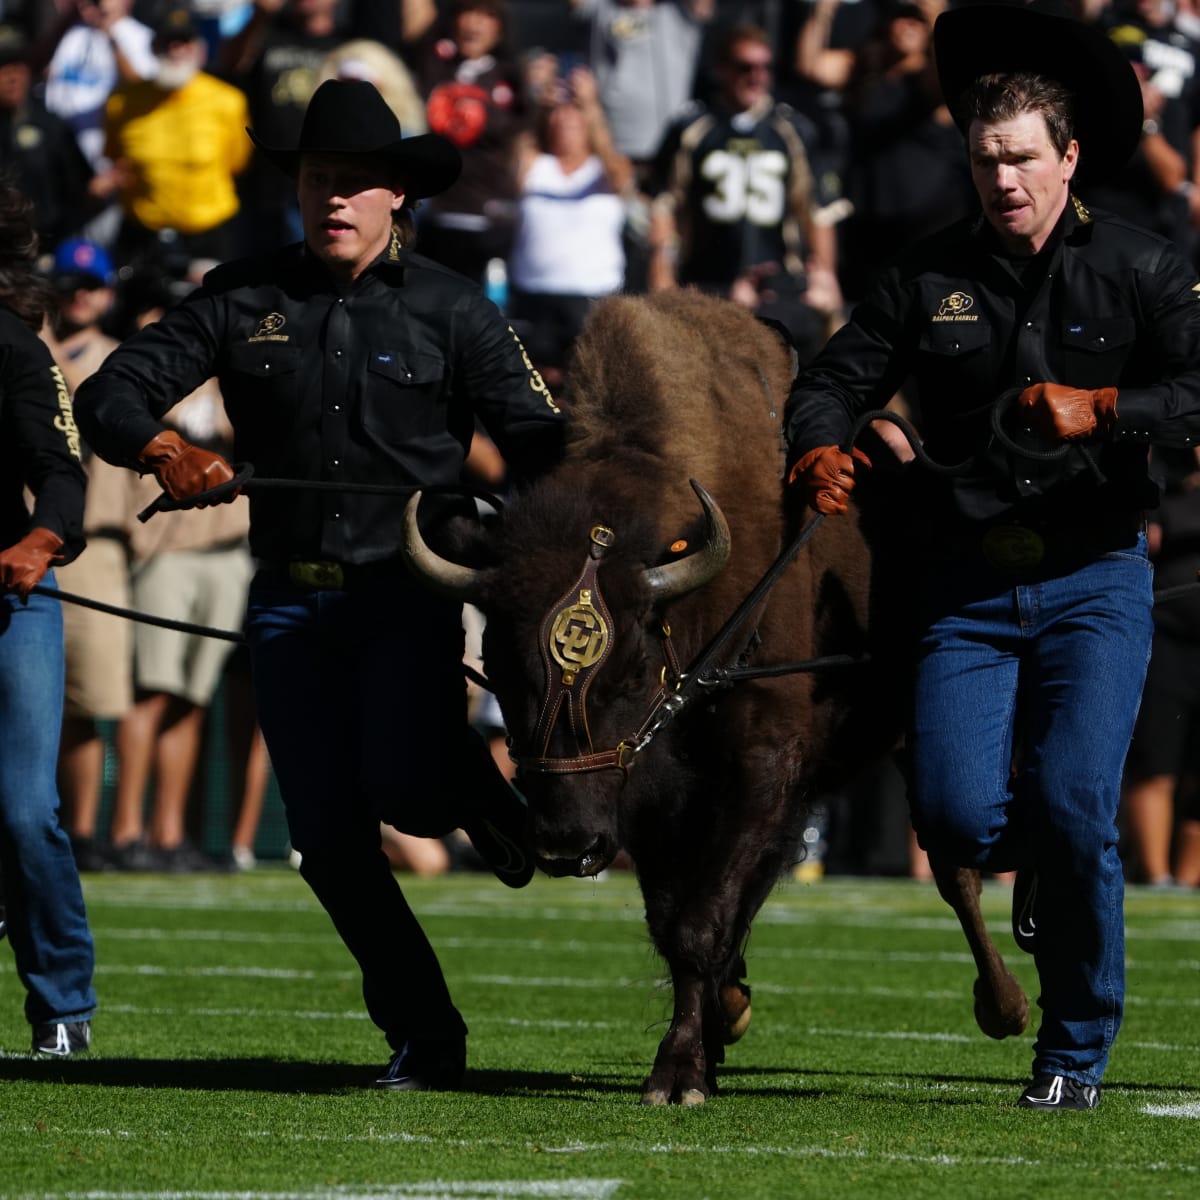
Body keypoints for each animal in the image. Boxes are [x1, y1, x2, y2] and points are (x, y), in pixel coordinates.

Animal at [403, 288, 1022, 1104]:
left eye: (631, 672)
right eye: (498, 671)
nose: (567, 846)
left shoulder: (761, 769)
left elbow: (703, 919)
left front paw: (678, 1074)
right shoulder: (653, 802)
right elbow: (679, 919)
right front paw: (708, 1036)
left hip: (914, 739)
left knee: (954, 868)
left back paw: (1006, 1007)